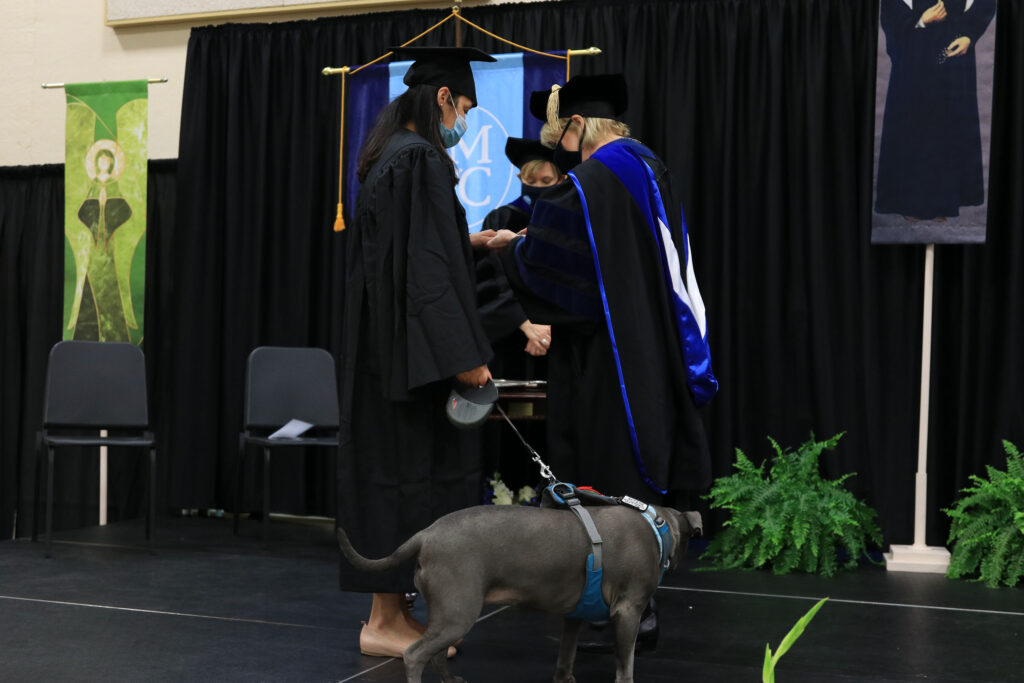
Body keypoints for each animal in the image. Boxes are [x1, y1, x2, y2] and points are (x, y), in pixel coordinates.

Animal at [335, 501, 704, 683]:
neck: (658, 526)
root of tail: (425, 534)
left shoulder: (574, 615)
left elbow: (566, 655)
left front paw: (564, 678)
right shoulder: (627, 611)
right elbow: (625, 664)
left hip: (448, 613)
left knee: (436, 651)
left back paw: (452, 680)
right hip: (458, 610)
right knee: (414, 654)